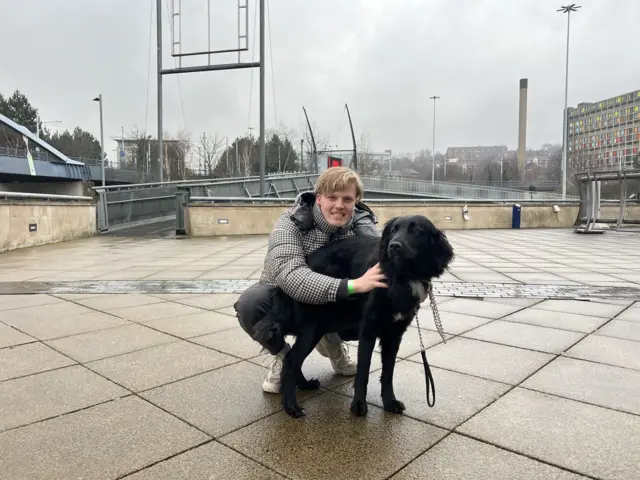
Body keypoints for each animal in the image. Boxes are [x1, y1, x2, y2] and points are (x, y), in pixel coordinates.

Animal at [250, 216, 456, 418]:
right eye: (393, 231)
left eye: (415, 231)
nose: (394, 246)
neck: (401, 276)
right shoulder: (368, 331)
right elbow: (363, 372)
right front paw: (358, 406)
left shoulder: (394, 335)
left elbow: (388, 372)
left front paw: (390, 402)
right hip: (312, 328)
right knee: (291, 361)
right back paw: (291, 407)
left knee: (291, 357)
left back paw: (304, 385)